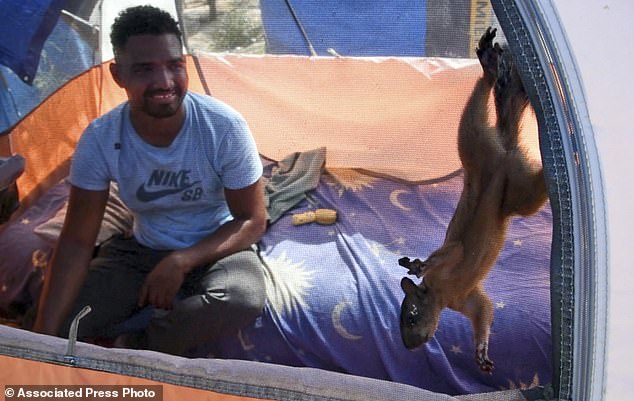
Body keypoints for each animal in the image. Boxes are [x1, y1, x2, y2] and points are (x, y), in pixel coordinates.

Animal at [398, 27, 544, 372]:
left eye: (411, 316)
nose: (410, 346)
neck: (442, 296)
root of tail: (504, 151)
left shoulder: (450, 268)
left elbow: (451, 251)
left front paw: (419, 265)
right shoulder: (468, 300)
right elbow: (485, 311)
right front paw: (481, 351)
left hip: (479, 150)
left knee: (478, 108)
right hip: (506, 181)